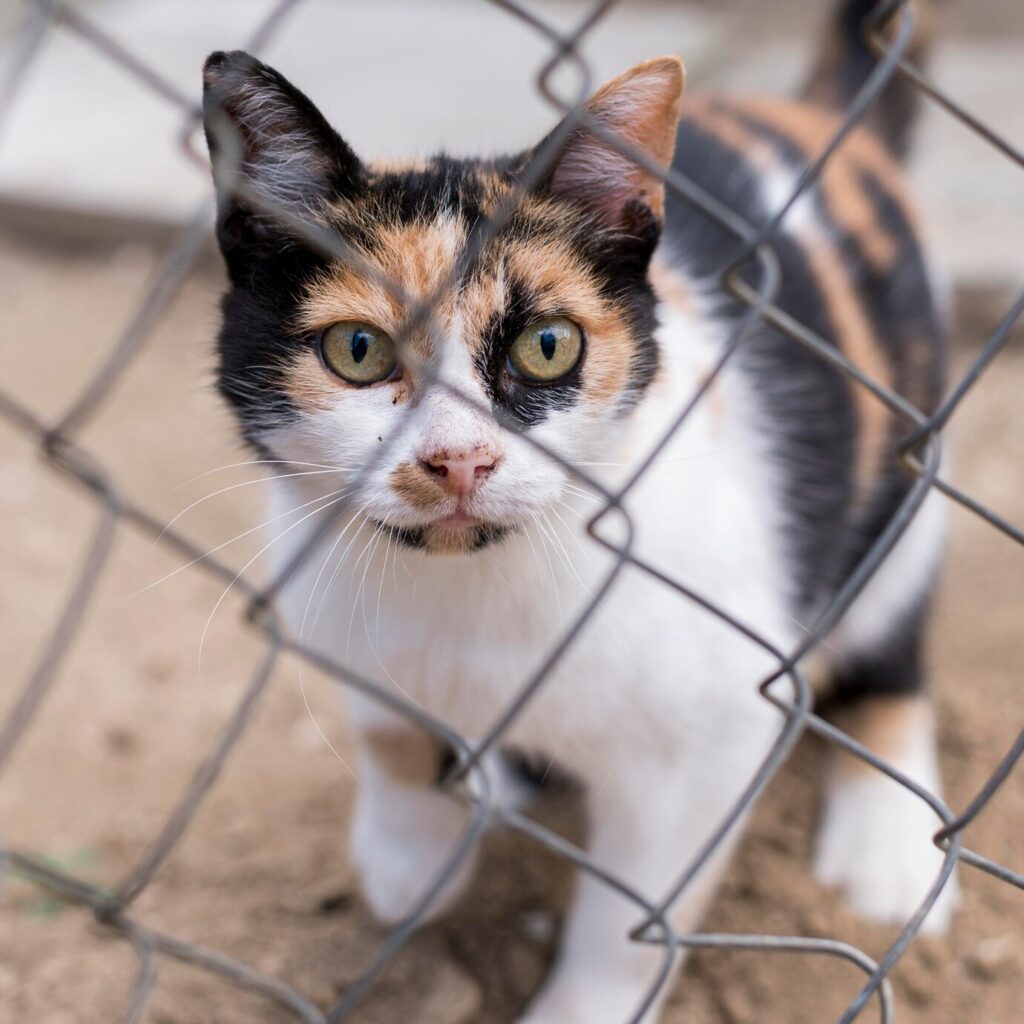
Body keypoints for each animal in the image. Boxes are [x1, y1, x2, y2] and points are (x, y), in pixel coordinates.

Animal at [203, 2, 954, 1024]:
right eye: (357, 351)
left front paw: (582, 998)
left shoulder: (711, 736)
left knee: (891, 643)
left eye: (549, 345)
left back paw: (889, 844)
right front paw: (408, 859)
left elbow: (632, 916)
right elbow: (386, 723)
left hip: (904, 494)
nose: (459, 459)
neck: (472, 594)